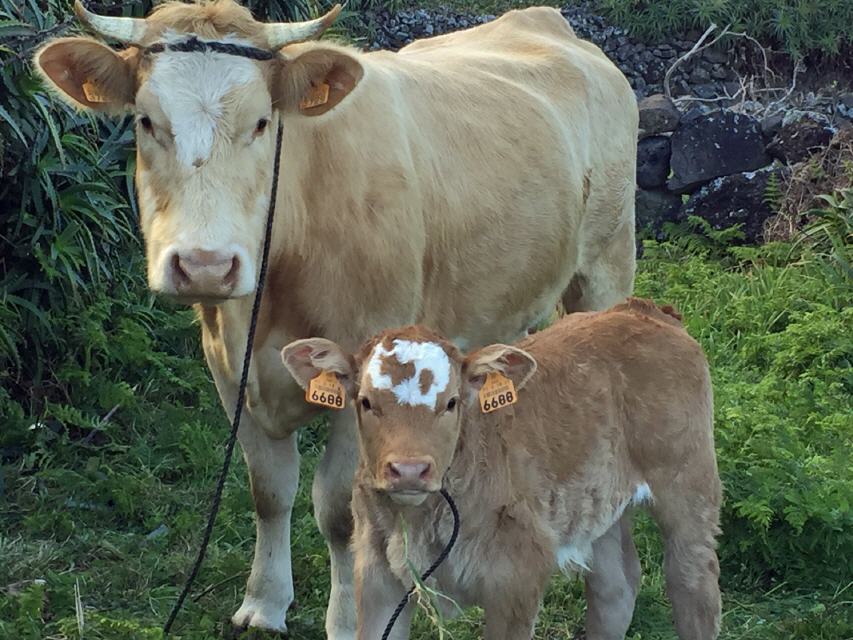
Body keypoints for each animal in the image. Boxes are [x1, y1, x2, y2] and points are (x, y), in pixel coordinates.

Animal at [36, 2, 640, 636]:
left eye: (262, 123)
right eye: (147, 122)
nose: (206, 265)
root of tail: (546, 21)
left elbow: (340, 514)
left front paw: (349, 618)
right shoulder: (228, 372)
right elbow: (269, 490)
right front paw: (265, 603)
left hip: (606, 264)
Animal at [282, 300, 724, 640]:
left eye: (451, 402)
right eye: (366, 402)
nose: (409, 469)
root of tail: (640, 310)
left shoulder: (519, 577)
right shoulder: (376, 575)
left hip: (690, 486)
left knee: (693, 586)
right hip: (598, 504)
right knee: (615, 588)